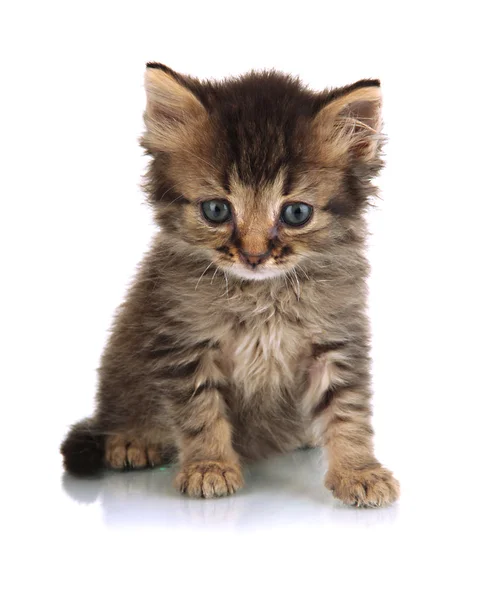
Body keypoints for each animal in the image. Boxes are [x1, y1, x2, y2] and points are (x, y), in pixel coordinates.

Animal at [60, 64, 400, 506]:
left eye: (296, 213)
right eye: (217, 210)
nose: (253, 256)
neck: (262, 296)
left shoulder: (336, 338)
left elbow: (347, 410)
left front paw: (359, 470)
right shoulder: (184, 341)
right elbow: (201, 412)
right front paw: (210, 466)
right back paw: (133, 439)